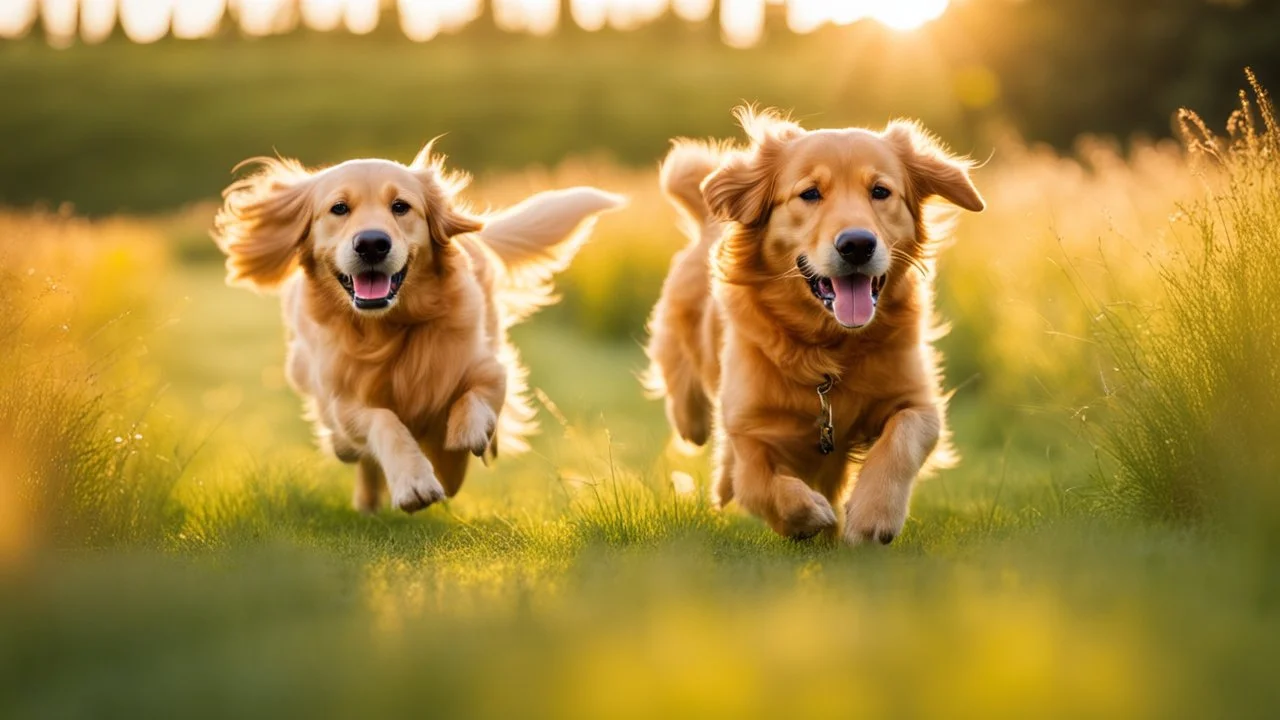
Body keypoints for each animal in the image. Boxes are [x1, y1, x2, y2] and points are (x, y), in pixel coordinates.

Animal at [213, 142, 619, 509]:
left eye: (400, 206)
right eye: (339, 208)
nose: (372, 243)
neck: (390, 330)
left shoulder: (487, 364)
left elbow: (477, 396)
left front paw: (465, 435)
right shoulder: (344, 400)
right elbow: (384, 423)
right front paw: (414, 481)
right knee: (354, 453)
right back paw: (365, 493)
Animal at [645, 109, 983, 540]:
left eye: (880, 191)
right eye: (809, 194)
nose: (857, 244)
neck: (829, 349)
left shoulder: (917, 400)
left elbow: (904, 435)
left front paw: (873, 514)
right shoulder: (749, 426)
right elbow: (755, 480)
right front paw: (807, 514)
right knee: (693, 415)